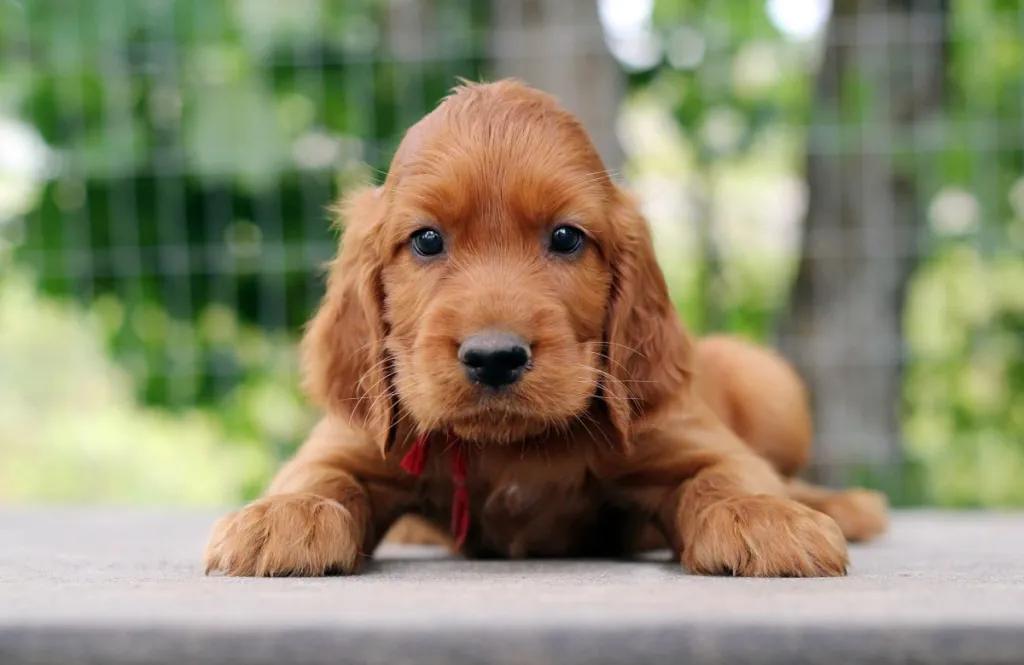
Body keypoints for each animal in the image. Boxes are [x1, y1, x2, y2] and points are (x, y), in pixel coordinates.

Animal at [203, 77, 884, 573]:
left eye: (565, 237)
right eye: (426, 240)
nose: (494, 357)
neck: (508, 448)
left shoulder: (687, 436)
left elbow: (729, 474)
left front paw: (762, 515)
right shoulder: (354, 438)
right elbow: (317, 474)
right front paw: (285, 514)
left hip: (769, 383)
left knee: (791, 472)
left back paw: (842, 504)